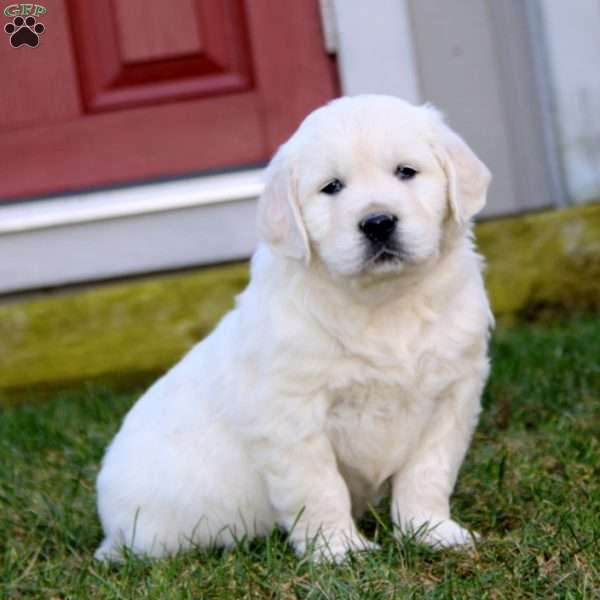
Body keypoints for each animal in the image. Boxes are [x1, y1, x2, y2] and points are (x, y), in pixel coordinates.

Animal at [96, 95, 492, 564]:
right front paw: (340, 550)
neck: (384, 302)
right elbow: (320, 487)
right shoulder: (291, 414)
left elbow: (427, 474)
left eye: (405, 172)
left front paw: (432, 531)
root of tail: (110, 527)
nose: (378, 222)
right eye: (332, 187)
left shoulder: (454, 395)